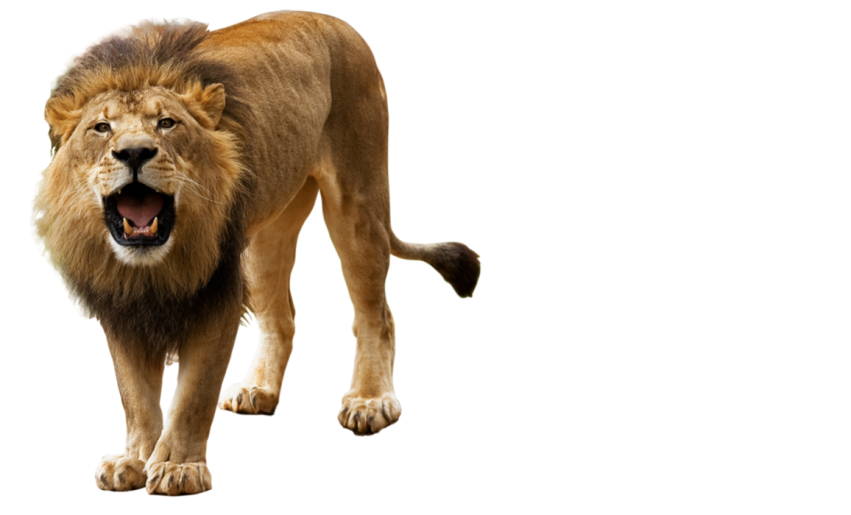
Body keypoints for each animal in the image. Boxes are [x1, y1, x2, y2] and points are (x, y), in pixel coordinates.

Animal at [30, 11, 481, 497]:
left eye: (167, 123)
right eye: (101, 127)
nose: (134, 152)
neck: (151, 265)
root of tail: (334, 20)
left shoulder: (215, 297)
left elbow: (194, 394)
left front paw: (178, 468)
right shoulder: (121, 303)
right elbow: (135, 395)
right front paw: (133, 460)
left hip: (357, 201)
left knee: (376, 313)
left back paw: (369, 400)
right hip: (264, 234)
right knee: (282, 316)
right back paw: (257, 389)